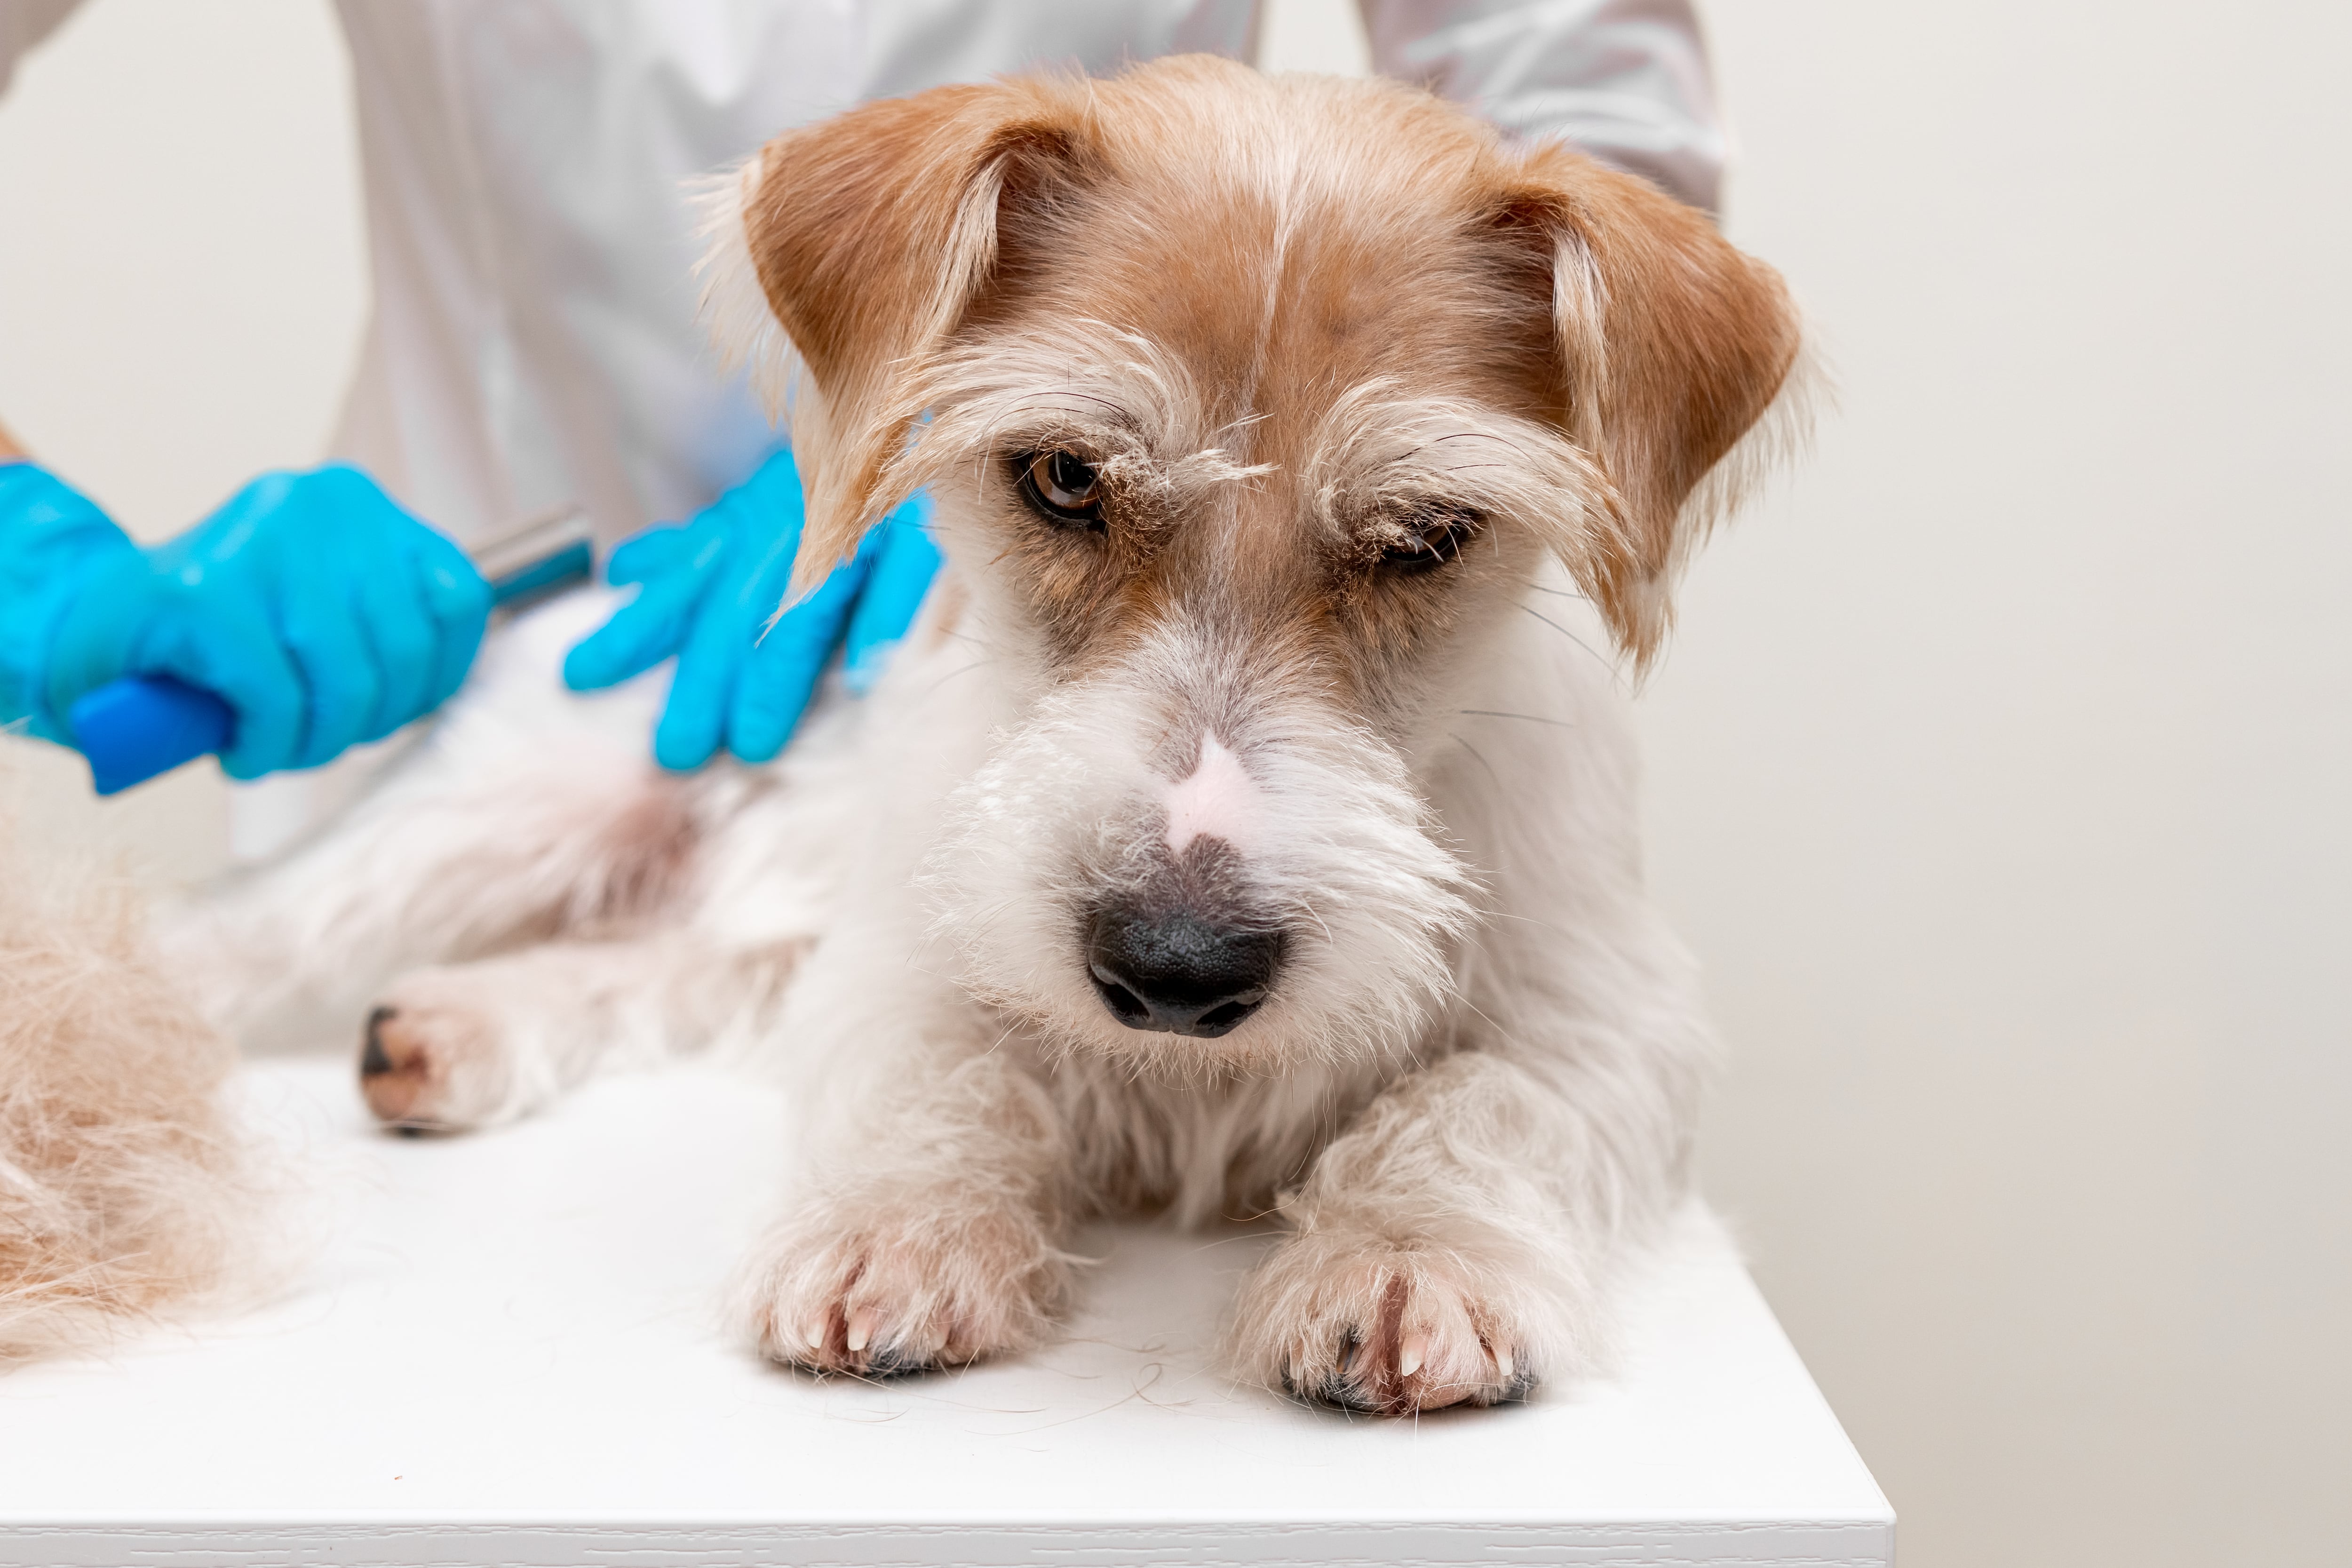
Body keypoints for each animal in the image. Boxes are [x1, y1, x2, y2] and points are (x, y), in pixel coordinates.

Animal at [179, 55, 1797, 1420]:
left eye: (1427, 537)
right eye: (1065, 477)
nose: (1175, 968)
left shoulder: (1605, 1011)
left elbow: (1478, 1100)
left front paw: (1409, 1255)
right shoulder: (904, 962)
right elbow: (948, 1075)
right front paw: (892, 1226)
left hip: (743, 937)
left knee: (643, 961)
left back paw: (448, 1029)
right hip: (500, 814)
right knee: (229, 927)